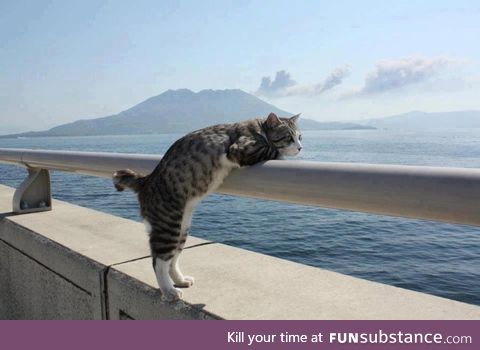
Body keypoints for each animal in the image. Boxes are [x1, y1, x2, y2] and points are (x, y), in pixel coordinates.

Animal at [111, 113, 304, 300]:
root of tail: (146, 181)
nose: (300, 147)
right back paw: (168, 290)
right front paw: (281, 153)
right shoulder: (239, 149)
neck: (258, 128)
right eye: (289, 137)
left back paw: (180, 280)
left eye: (300, 137)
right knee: (159, 261)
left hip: (182, 228)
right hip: (167, 225)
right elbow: (272, 150)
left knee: (172, 259)